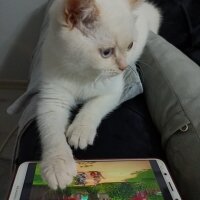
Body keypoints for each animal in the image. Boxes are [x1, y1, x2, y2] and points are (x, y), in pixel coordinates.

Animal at [37, 0, 161, 190]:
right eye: (106, 52)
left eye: (130, 46)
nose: (124, 67)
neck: (83, 73)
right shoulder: (52, 99)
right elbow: (51, 132)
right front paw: (57, 165)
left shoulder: (114, 90)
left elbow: (92, 107)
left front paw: (80, 131)